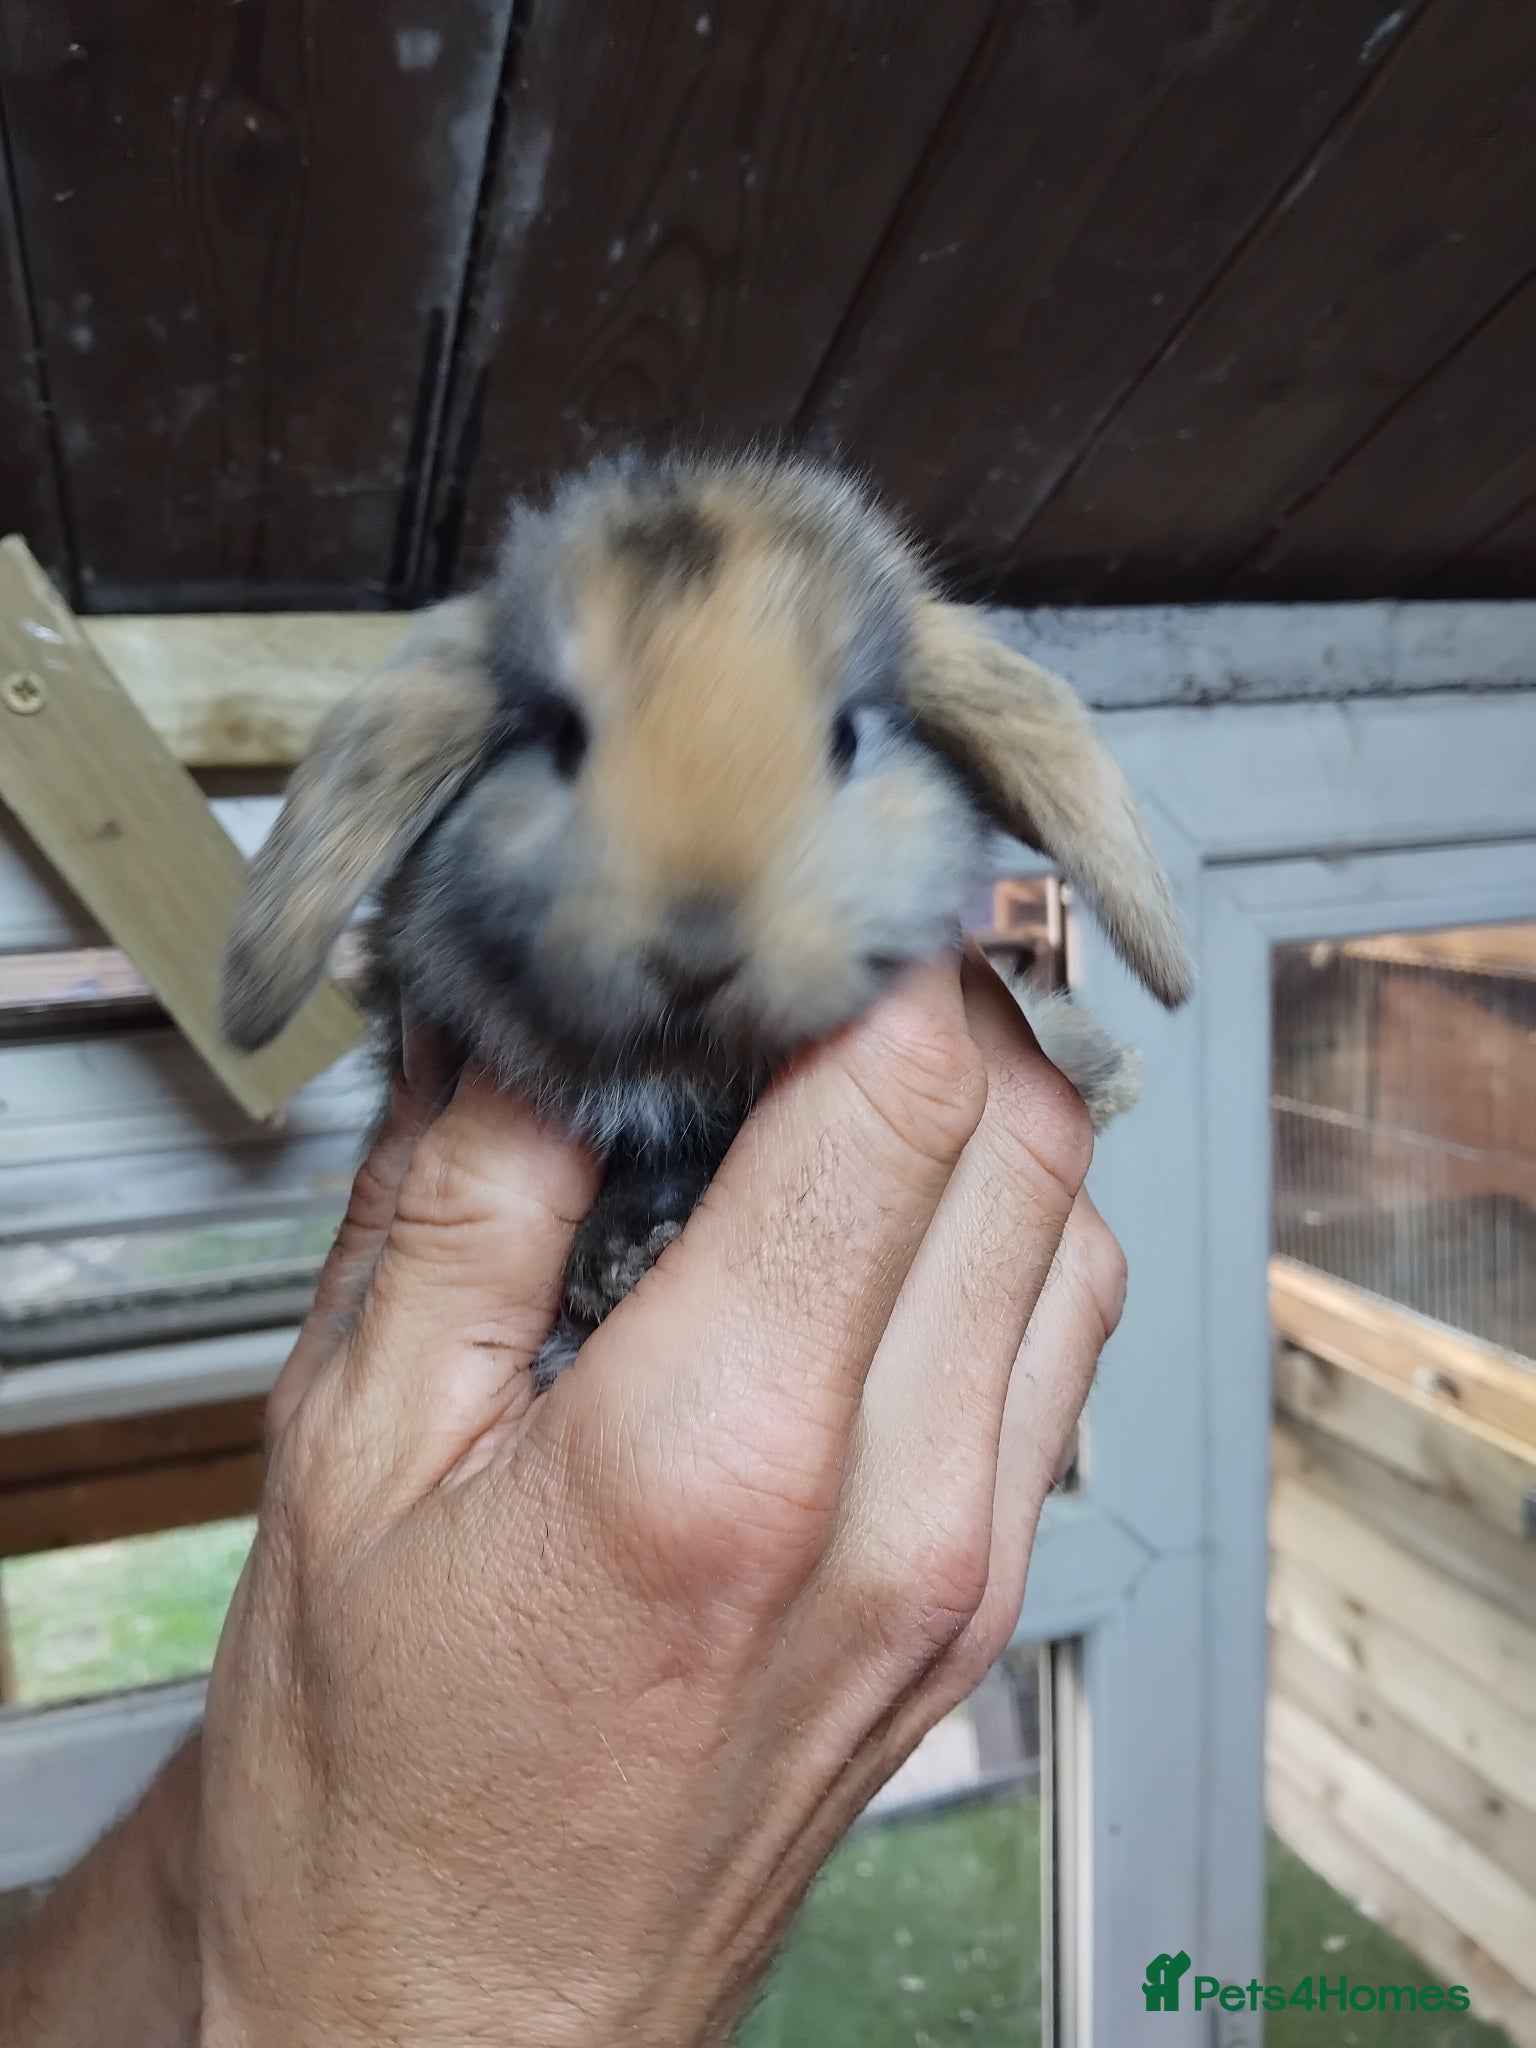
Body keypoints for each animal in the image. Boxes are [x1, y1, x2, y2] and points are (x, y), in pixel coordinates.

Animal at [220, 453, 1191, 1384]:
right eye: (561, 734)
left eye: (846, 738)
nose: (693, 954)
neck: (682, 1069)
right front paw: (618, 1260)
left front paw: (1097, 1067)